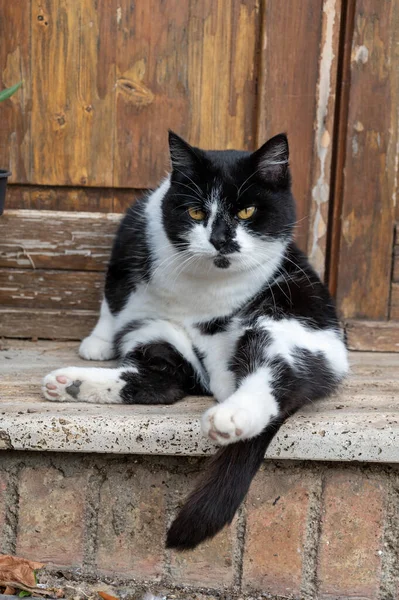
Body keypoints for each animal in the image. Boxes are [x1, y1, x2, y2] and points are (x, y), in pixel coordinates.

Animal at [40, 131, 348, 548]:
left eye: (247, 212)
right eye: (196, 213)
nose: (221, 239)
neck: (199, 289)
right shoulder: (129, 239)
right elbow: (112, 295)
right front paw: (98, 341)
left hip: (283, 327)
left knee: (272, 377)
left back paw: (229, 415)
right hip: (155, 333)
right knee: (160, 381)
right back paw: (70, 383)